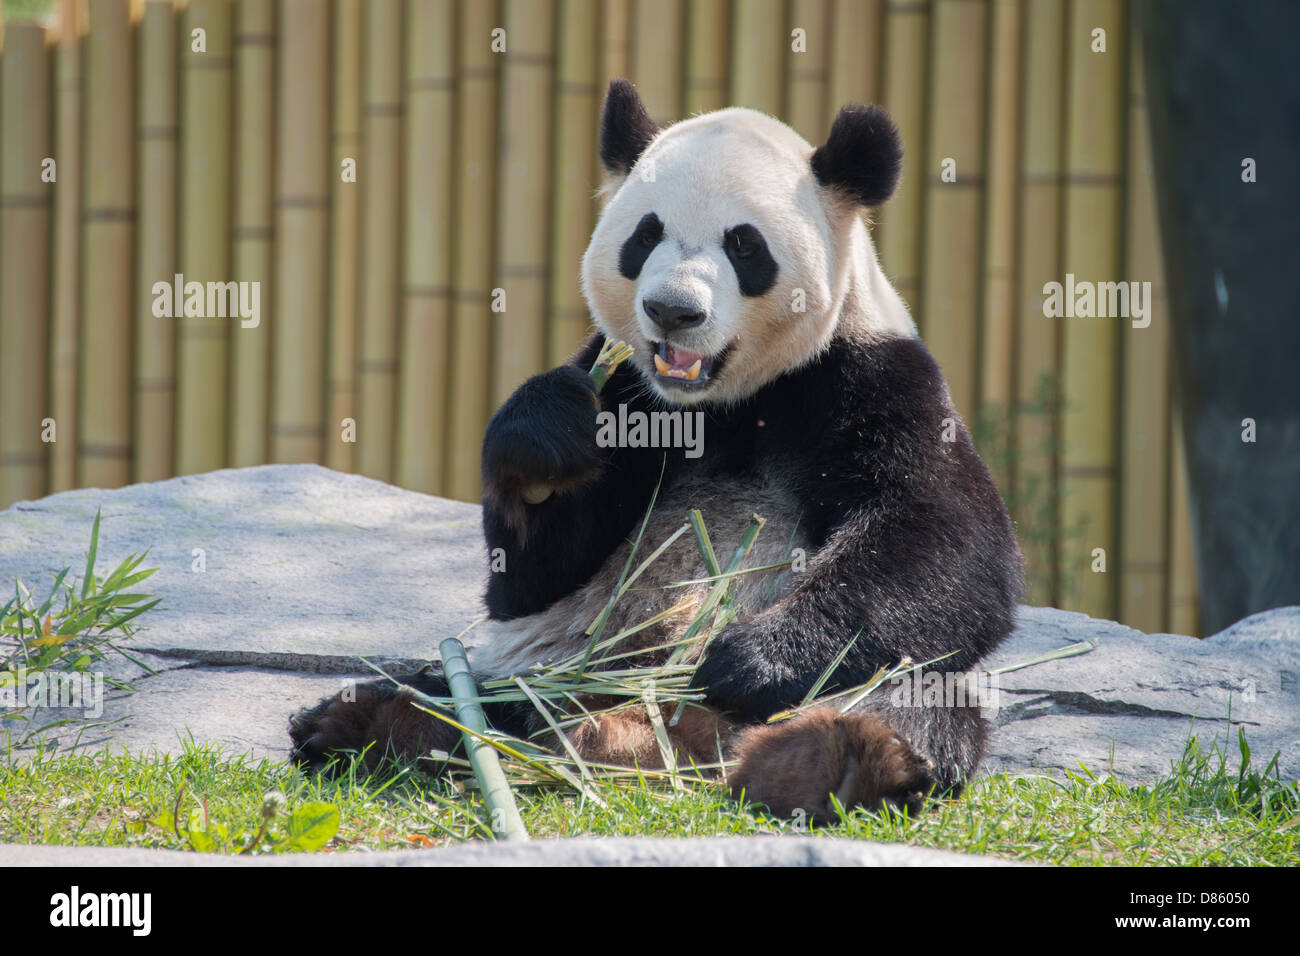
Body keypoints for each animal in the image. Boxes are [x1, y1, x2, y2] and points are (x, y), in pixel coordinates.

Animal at [289, 78, 1019, 816]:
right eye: (646, 235)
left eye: (745, 246)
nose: (672, 310)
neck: (724, 404)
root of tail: (661, 738)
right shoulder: (627, 390)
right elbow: (525, 582)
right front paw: (546, 449)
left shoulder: (871, 378)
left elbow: (944, 545)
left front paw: (751, 659)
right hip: (547, 668)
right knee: (482, 696)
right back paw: (375, 722)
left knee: (915, 697)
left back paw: (834, 755)